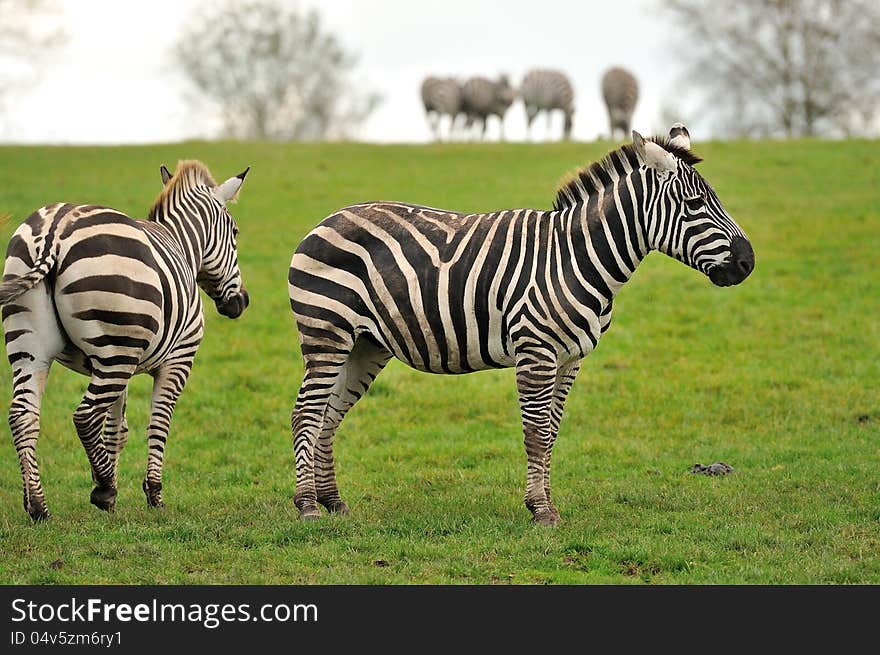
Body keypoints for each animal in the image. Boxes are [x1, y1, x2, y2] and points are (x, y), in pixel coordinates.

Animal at [0, 160, 248, 524]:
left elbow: (117, 430)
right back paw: (102, 489)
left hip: (35, 347)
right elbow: (158, 424)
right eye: (234, 233)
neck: (183, 246)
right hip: (114, 352)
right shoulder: (178, 360)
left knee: (23, 416)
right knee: (85, 416)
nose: (240, 303)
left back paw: (38, 505)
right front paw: (152, 495)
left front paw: (113, 489)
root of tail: (54, 231)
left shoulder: (120, 365)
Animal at [290, 124, 756, 528]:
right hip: (327, 334)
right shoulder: (537, 352)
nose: (748, 263)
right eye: (695, 206)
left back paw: (334, 502)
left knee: (329, 414)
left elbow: (551, 434)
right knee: (306, 412)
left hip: (366, 344)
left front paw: (547, 503)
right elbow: (535, 433)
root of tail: (325, 220)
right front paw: (540, 510)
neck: (577, 257)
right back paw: (308, 506)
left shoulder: (571, 358)